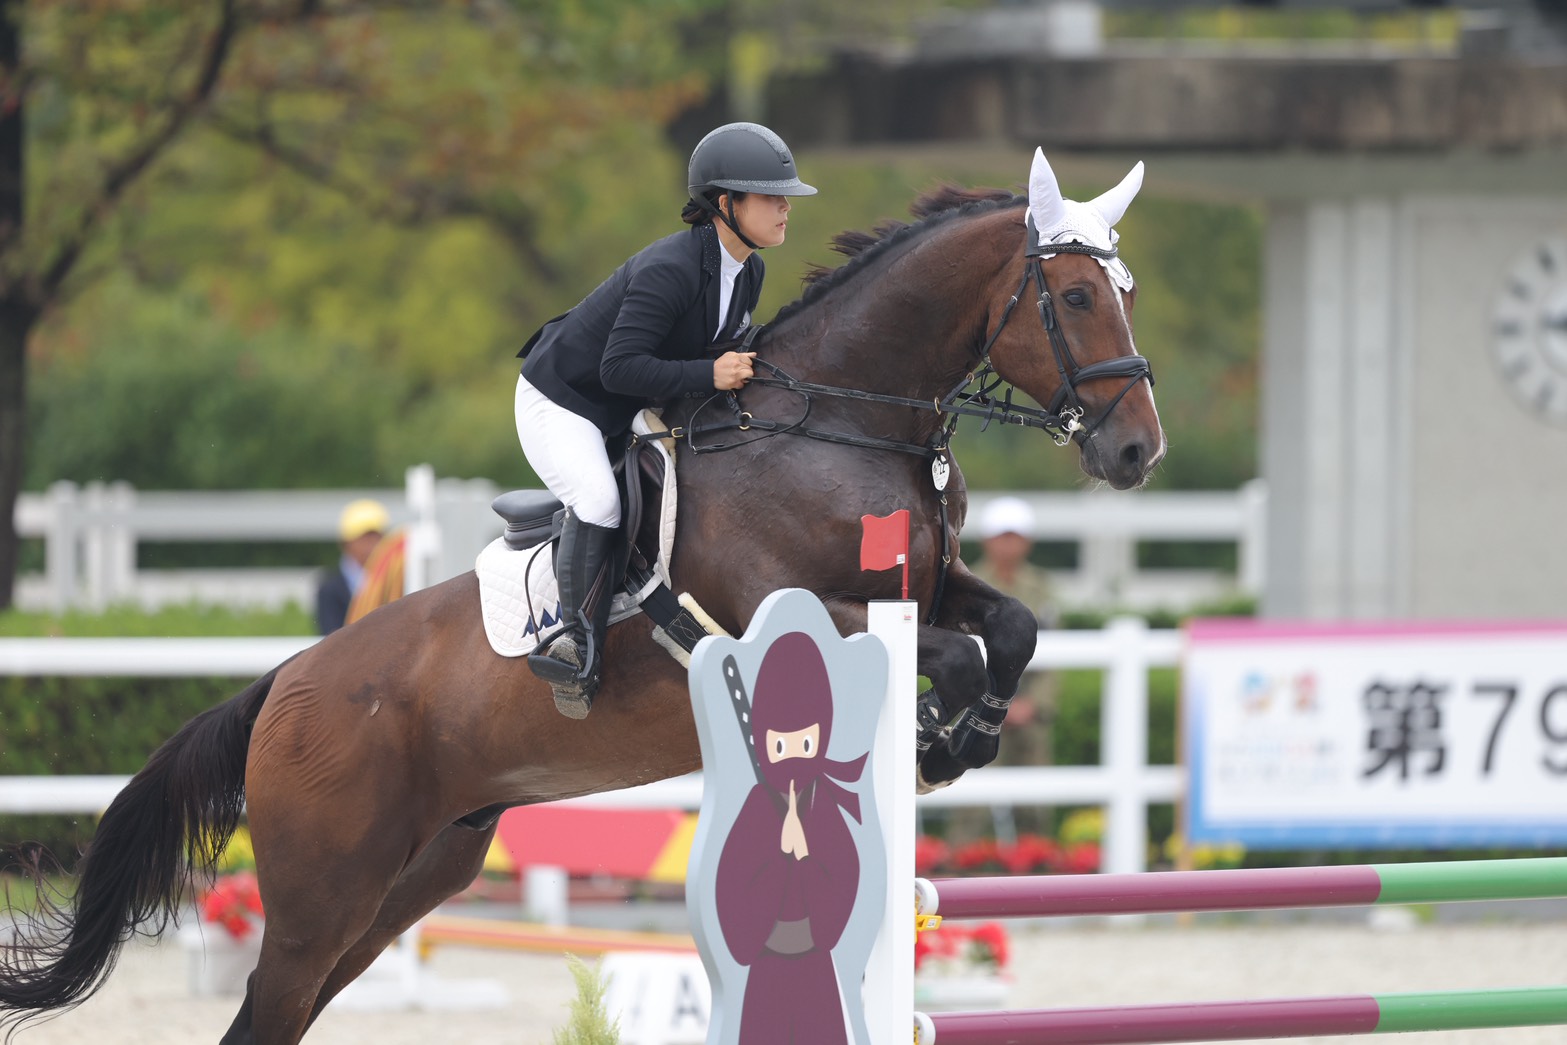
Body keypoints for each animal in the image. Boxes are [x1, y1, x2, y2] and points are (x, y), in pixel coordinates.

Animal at [0, 147, 1163, 1043]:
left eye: (1124, 293)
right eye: (1071, 297)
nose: (1137, 453)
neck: (839, 421)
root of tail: (283, 683)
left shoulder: (932, 583)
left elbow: (1011, 625)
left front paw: (967, 735)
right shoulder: (785, 610)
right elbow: (952, 651)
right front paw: (934, 738)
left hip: (411, 878)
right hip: (321, 894)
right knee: (266, 1010)